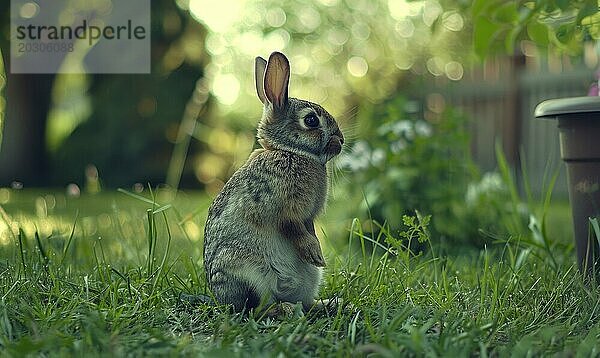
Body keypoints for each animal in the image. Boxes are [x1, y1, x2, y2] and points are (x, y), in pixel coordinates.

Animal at [203, 51, 344, 312]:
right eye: (311, 120)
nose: (341, 140)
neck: (290, 151)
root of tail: (221, 300)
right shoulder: (283, 208)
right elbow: (293, 228)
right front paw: (314, 253)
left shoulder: (308, 217)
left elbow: (309, 229)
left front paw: (317, 254)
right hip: (248, 272)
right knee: (258, 308)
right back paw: (284, 309)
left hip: (310, 279)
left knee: (306, 303)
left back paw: (331, 304)